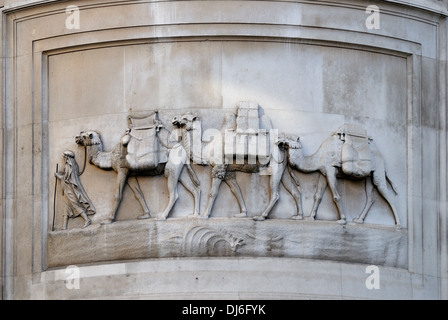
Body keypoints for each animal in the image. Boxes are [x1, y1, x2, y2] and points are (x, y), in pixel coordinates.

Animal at [172, 110, 304, 220]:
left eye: (185, 118)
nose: (174, 118)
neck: (207, 148)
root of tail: (283, 145)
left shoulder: (219, 167)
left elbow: (213, 192)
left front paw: (204, 215)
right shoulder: (228, 171)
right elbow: (236, 191)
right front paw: (242, 213)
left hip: (275, 164)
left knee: (275, 194)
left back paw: (261, 216)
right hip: (282, 167)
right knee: (295, 190)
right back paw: (298, 216)